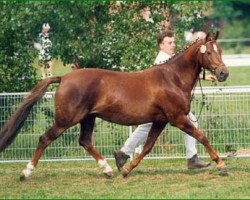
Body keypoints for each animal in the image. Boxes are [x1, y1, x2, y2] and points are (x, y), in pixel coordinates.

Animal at [0, 31, 229, 180]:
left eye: (220, 50)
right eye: (209, 53)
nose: (223, 73)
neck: (172, 78)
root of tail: (64, 77)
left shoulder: (160, 121)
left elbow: (147, 147)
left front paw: (126, 169)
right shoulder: (178, 119)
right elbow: (202, 137)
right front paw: (221, 165)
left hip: (88, 118)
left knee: (85, 141)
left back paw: (108, 169)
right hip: (66, 120)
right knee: (45, 139)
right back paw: (25, 172)